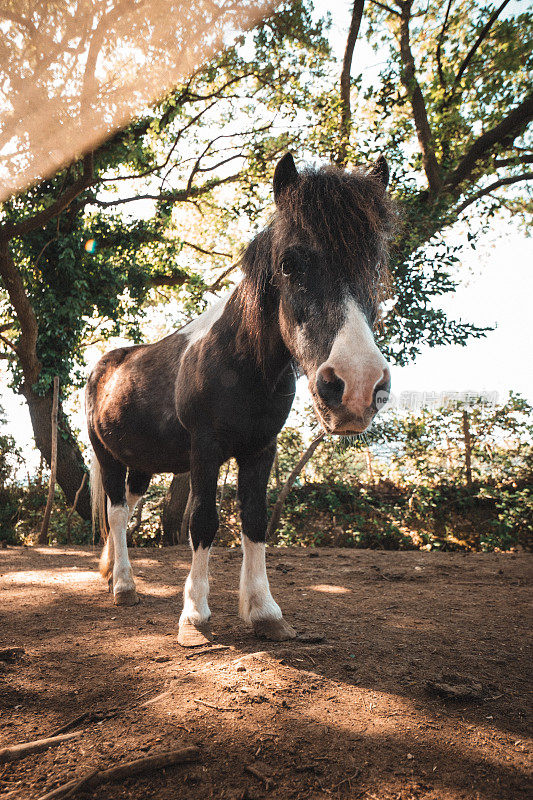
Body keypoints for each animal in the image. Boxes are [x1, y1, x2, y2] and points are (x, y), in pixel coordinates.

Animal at [85, 153, 394, 648]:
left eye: (375, 264)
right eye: (289, 264)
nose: (358, 383)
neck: (240, 362)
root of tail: (104, 366)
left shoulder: (260, 449)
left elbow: (255, 519)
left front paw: (263, 611)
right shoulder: (205, 449)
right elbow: (203, 521)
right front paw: (194, 616)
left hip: (142, 466)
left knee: (126, 513)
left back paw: (111, 570)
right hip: (108, 456)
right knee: (115, 513)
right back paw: (124, 587)